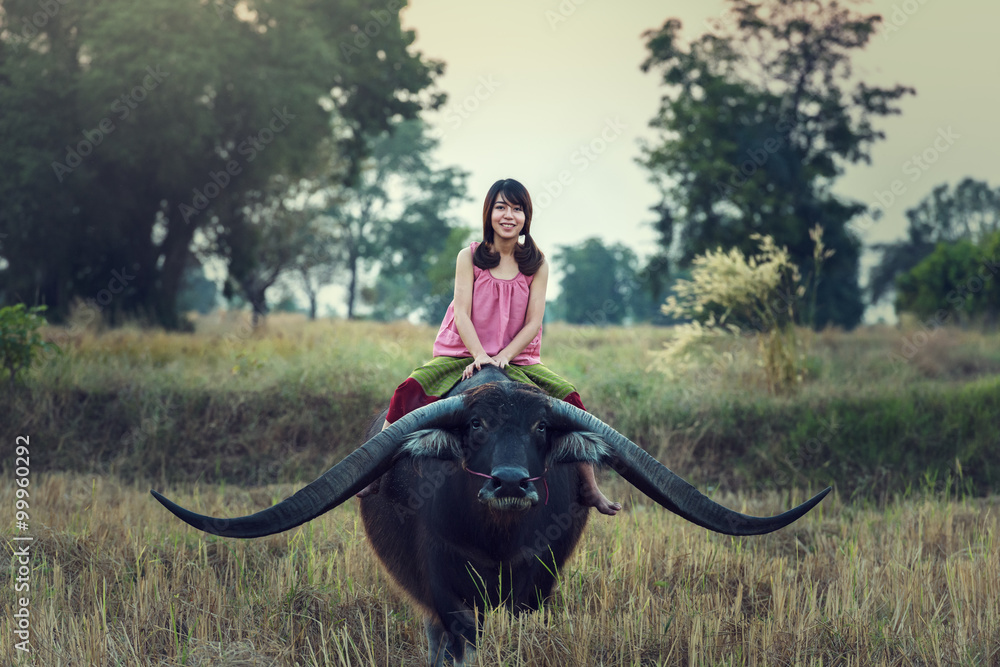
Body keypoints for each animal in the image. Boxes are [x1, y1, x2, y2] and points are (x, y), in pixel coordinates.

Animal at [152, 368, 832, 664]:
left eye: (539, 428)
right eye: (475, 425)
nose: (509, 481)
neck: (498, 539)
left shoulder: (540, 586)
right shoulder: (446, 593)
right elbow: (461, 643)